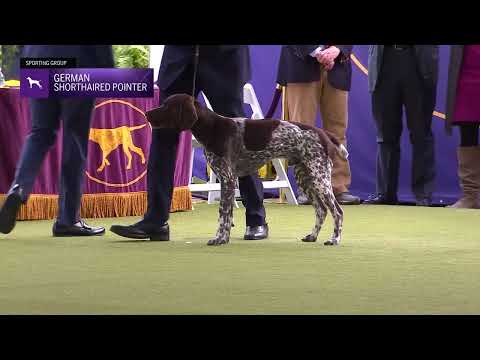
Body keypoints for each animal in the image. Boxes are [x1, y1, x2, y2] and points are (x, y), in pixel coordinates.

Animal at [147, 94, 348, 246]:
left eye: (166, 105)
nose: (147, 113)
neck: (211, 128)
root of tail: (322, 133)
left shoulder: (228, 178)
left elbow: (223, 215)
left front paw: (219, 239)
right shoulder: (226, 180)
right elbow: (227, 215)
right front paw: (224, 238)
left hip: (319, 178)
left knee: (337, 211)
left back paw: (334, 239)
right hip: (306, 178)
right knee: (321, 210)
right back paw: (312, 236)